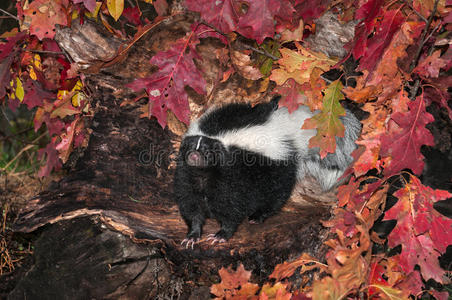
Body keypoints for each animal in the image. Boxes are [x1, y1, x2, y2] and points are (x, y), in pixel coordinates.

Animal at [173, 97, 360, 247]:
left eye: (207, 151)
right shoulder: (188, 178)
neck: (204, 174)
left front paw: (221, 235)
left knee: (277, 193)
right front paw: (192, 235)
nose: (194, 155)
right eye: (190, 147)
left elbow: (232, 208)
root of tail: (285, 124)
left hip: (276, 166)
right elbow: (192, 207)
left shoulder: (232, 178)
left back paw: (258, 216)